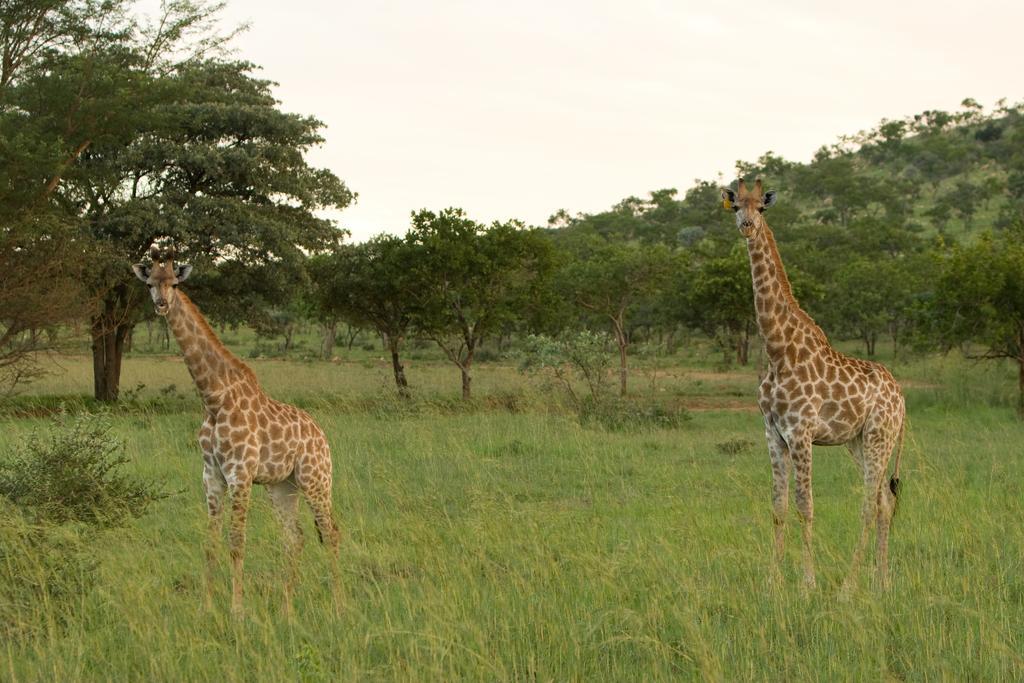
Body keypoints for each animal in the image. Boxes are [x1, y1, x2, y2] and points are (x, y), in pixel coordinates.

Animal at [130, 246, 339, 618]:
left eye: (174, 282)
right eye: (150, 283)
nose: (162, 304)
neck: (213, 398)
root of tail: (321, 435)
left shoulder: (239, 473)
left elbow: (236, 542)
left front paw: (237, 610)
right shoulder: (211, 475)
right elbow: (210, 542)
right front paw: (206, 607)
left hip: (316, 479)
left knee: (330, 533)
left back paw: (339, 607)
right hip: (281, 486)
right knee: (296, 537)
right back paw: (287, 609)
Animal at [724, 179, 909, 589]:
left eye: (762, 207)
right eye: (735, 207)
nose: (747, 226)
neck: (778, 351)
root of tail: (902, 399)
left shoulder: (801, 432)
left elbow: (805, 507)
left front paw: (807, 583)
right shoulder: (773, 432)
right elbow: (778, 506)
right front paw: (772, 581)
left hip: (879, 437)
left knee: (868, 506)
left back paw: (849, 588)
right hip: (859, 441)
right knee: (883, 502)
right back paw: (882, 581)